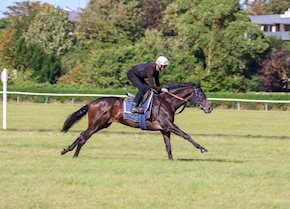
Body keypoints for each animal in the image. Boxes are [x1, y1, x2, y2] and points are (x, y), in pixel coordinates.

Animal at [60, 81, 213, 160]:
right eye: (200, 94)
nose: (209, 107)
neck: (168, 102)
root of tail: (92, 103)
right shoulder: (169, 125)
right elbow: (186, 135)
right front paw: (203, 149)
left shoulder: (165, 129)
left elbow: (168, 146)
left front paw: (171, 160)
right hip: (96, 124)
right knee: (83, 136)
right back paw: (72, 154)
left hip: (102, 125)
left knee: (82, 136)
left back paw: (68, 151)